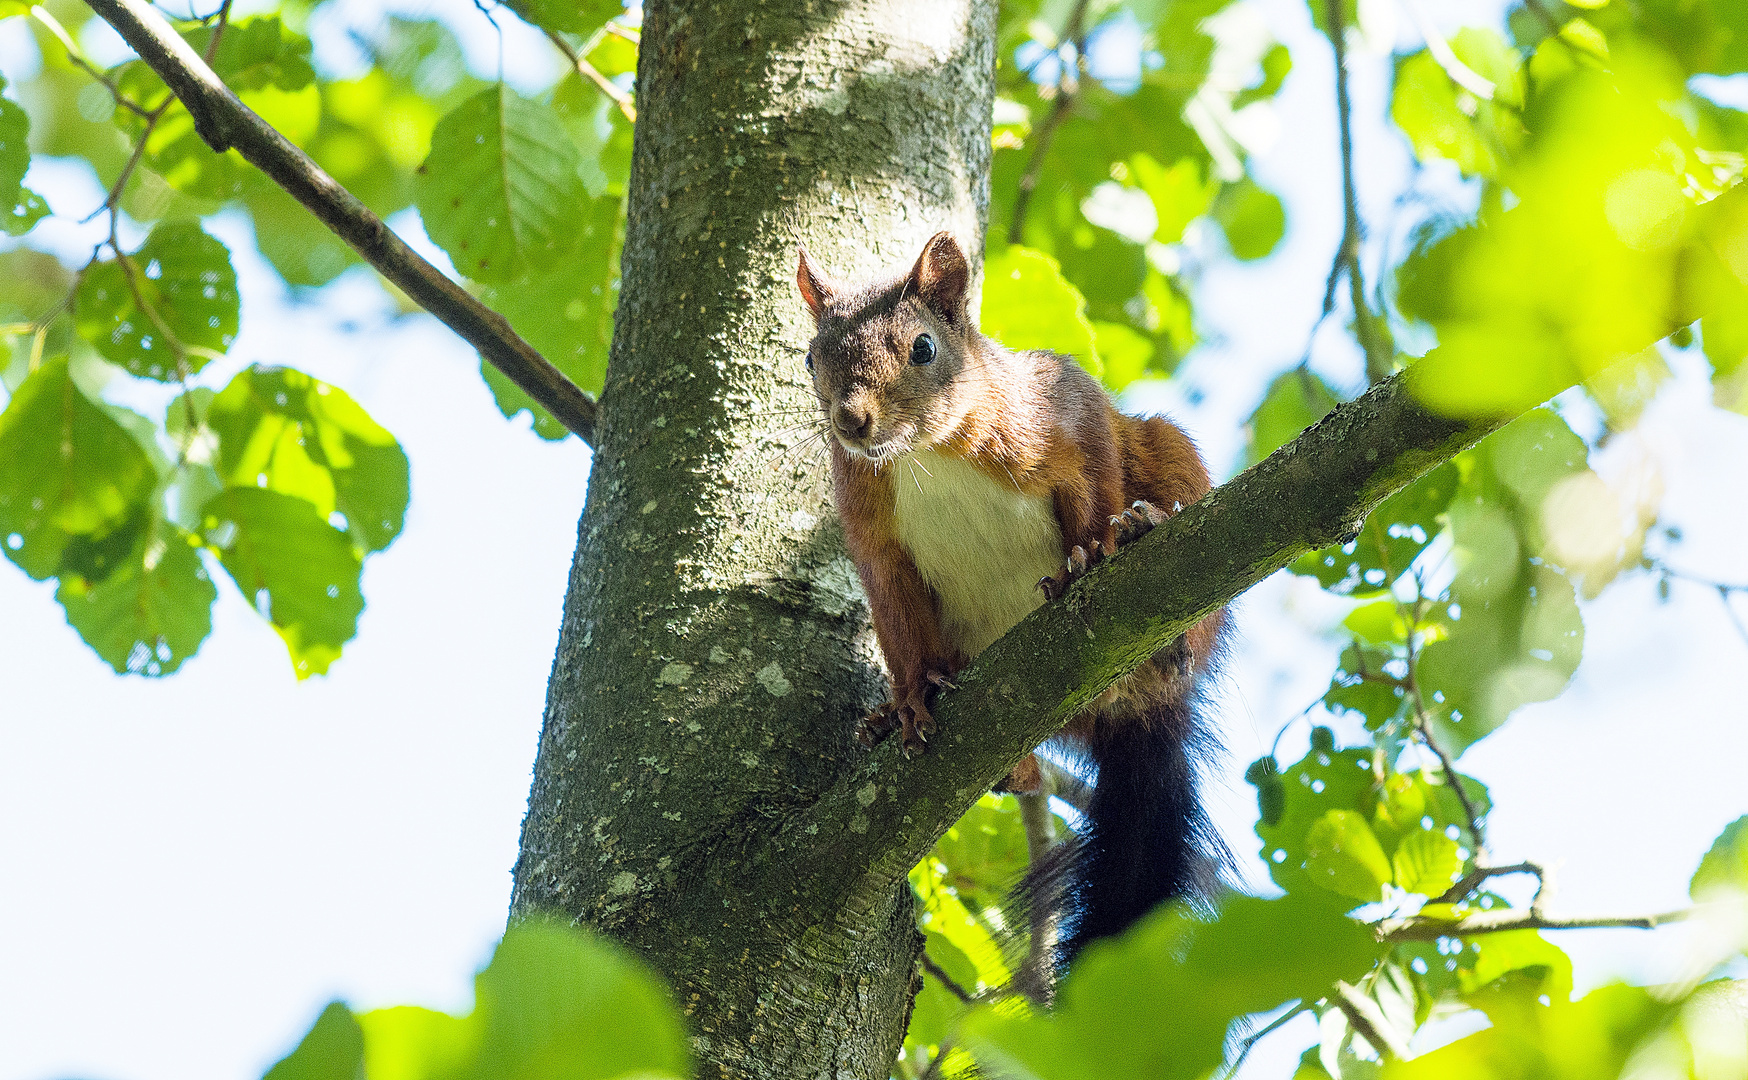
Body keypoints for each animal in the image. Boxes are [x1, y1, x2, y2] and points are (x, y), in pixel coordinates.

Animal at [797, 228, 1230, 957]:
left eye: (923, 348)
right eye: (809, 358)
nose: (850, 420)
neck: (927, 455)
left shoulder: (1062, 409)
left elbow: (1096, 483)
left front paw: (1093, 553)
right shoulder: (874, 540)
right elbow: (897, 619)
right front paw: (910, 697)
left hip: (1171, 465)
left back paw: (1151, 571)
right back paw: (994, 760)